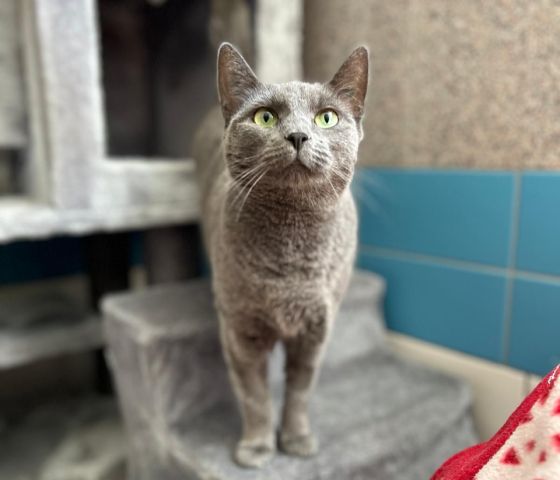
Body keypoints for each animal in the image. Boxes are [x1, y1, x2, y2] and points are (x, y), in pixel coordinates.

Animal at [193, 42, 368, 468]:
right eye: (265, 117)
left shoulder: (316, 332)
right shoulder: (241, 331)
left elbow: (300, 392)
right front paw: (257, 448)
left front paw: (297, 439)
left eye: (326, 117)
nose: (298, 135)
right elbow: (255, 396)